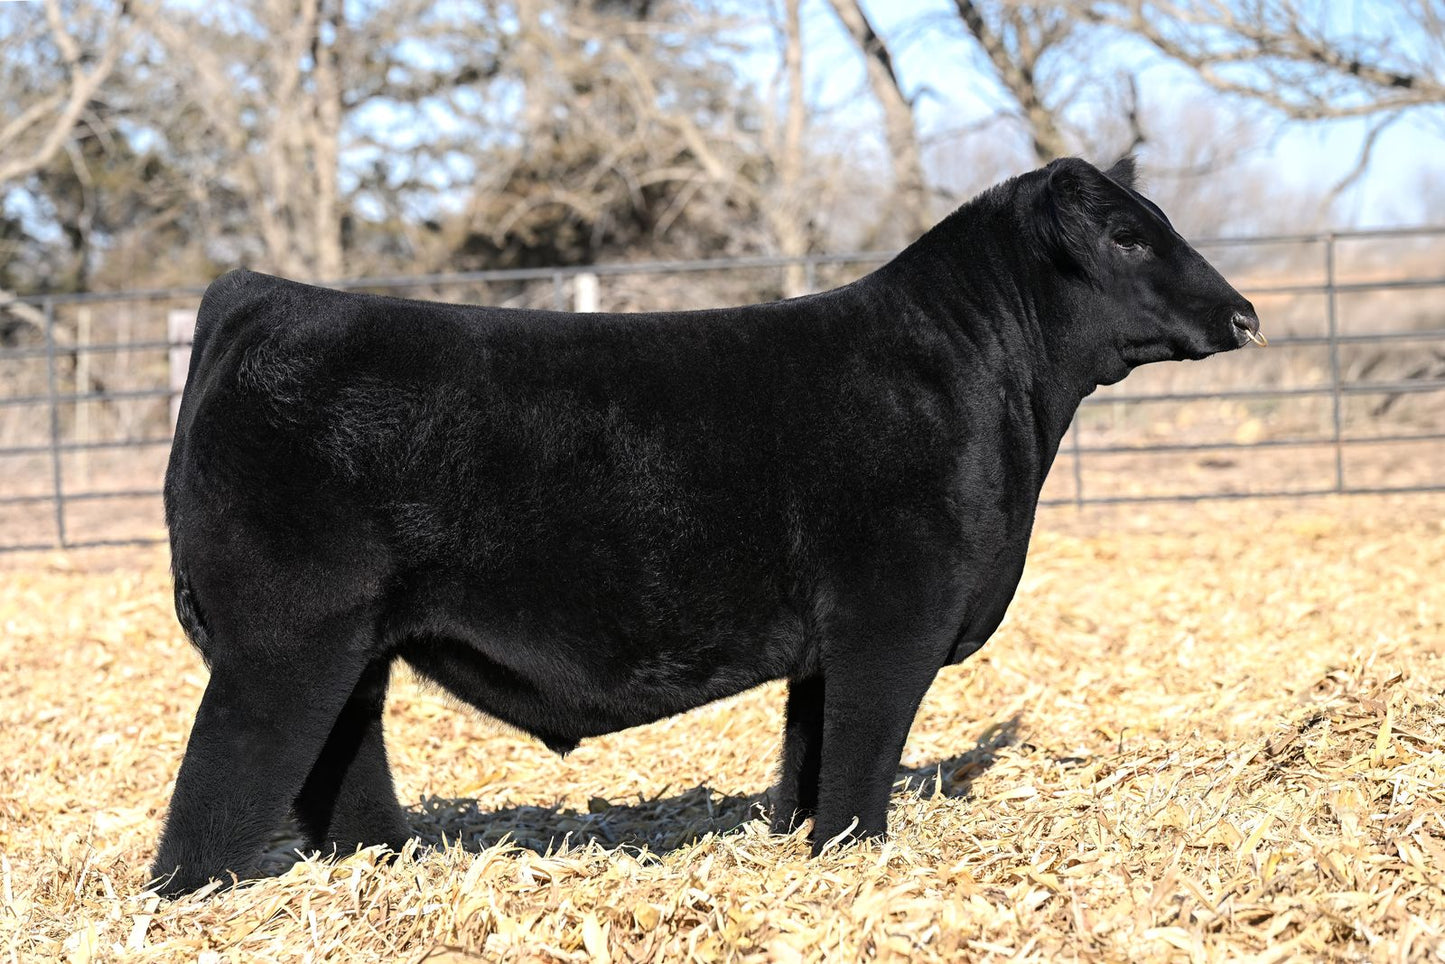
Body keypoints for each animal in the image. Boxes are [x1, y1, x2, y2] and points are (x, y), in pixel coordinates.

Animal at [149, 157, 1263, 896]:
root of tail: (255, 297)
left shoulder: (831, 641)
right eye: (1125, 235)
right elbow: (863, 754)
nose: (1244, 315)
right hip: (282, 641)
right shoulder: (893, 615)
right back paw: (200, 896)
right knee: (219, 785)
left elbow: (811, 750)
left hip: (352, 646)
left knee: (345, 758)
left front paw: (802, 840)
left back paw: (390, 863)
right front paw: (853, 856)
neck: (986, 382)